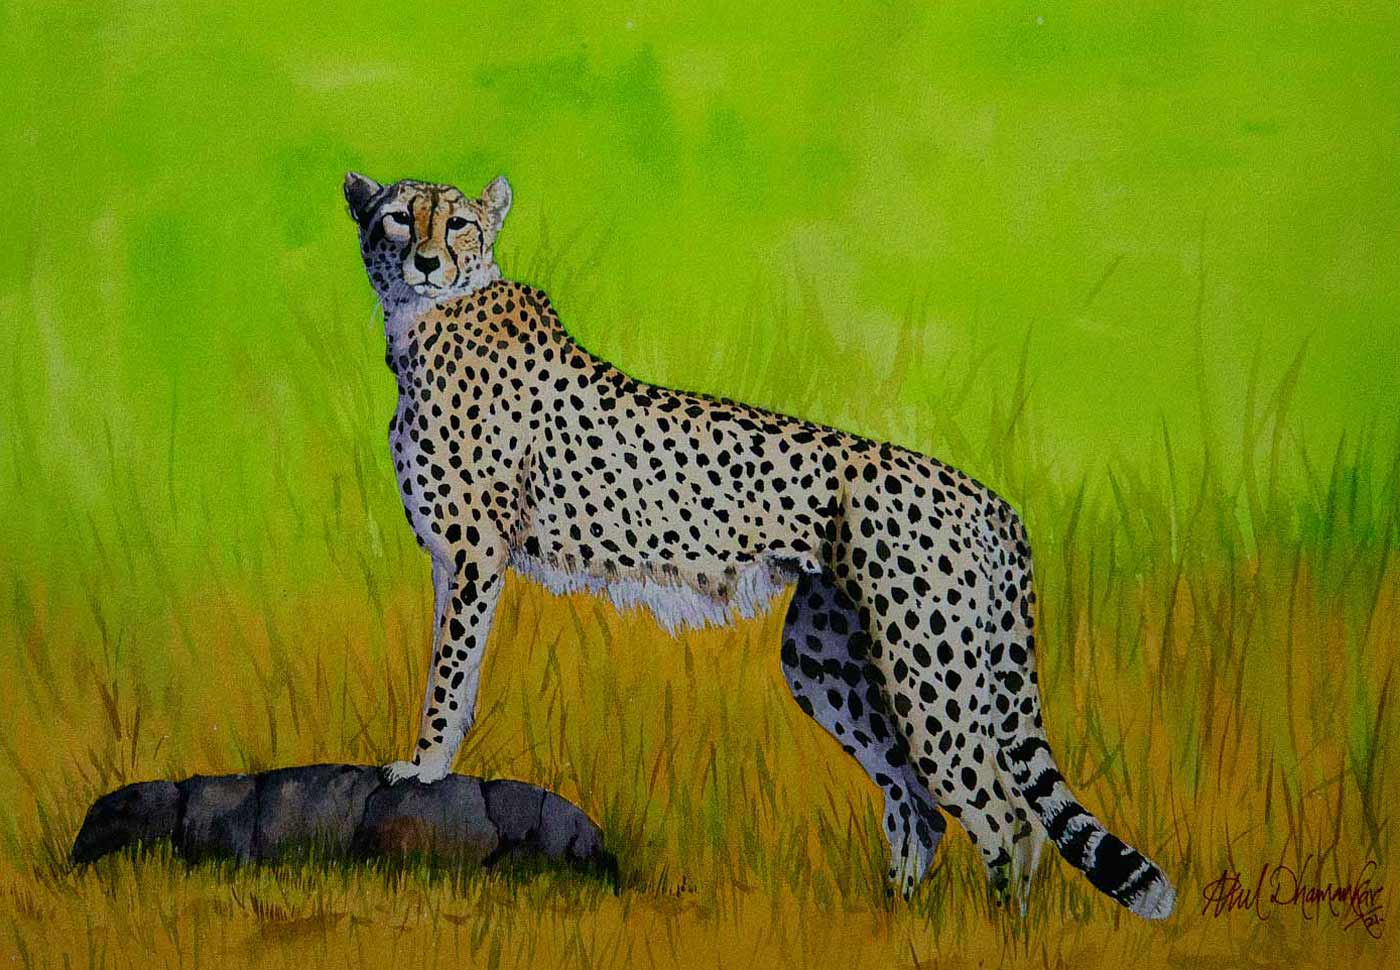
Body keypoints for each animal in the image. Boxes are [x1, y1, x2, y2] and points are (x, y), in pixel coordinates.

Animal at [342, 170, 1176, 919]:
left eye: (457, 224)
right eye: (397, 218)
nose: (426, 262)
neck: (426, 318)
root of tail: (990, 498)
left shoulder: (474, 553)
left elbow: (449, 672)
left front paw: (424, 767)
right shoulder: (458, 561)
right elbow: (455, 664)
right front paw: (431, 760)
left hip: (927, 668)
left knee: (1006, 815)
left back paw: (1002, 937)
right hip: (827, 661)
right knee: (918, 802)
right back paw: (893, 923)